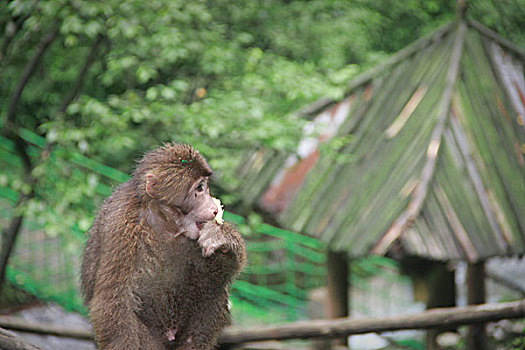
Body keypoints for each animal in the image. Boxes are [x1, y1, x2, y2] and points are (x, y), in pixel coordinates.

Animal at [80, 144, 246, 348]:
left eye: (206, 186)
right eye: (199, 188)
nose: (214, 209)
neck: (165, 222)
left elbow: (215, 274)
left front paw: (222, 238)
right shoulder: (121, 226)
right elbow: (113, 300)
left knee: (213, 291)